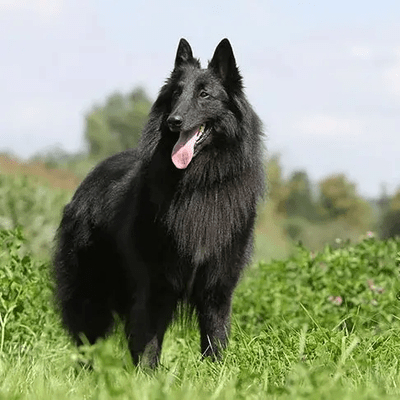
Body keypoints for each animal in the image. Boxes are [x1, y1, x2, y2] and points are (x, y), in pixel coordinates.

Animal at [54, 39, 266, 368]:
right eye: (176, 93)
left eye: (205, 94)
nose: (173, 121)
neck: (197, 185)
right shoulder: (155, 284)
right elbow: (149, 343)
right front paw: (147, 376)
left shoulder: (218, 286)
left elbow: (215, 338)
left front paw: (216, 374)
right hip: (90, 292)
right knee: (87, 339)